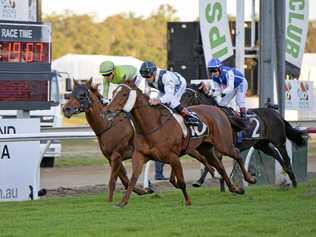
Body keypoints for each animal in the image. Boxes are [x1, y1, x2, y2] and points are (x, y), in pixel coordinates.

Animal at [105, 80, 256, 207]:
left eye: (124, 94)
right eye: (113, 93)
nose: (107, 110)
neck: (152, 126)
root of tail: (218, 109)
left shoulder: (173, 157)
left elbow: (182, 182)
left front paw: (188, 201)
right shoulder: (140, 156)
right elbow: (132, 179)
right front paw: (122, 202)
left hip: (223, 144)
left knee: (236, 154)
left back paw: (250, 179)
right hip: (205, 148)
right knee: (219, 166)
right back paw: (235, 189)